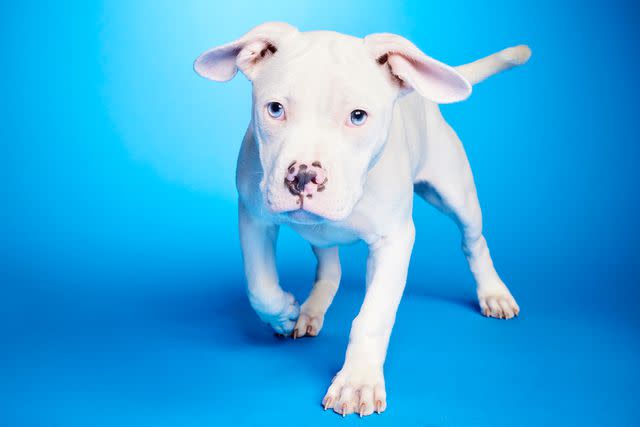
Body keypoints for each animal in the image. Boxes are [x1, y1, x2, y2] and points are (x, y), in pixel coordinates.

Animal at [194, 22, 528, 418]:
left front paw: (357, 381)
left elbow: (373, 316)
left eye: (357, 116)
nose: (303, 177)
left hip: (454, 193)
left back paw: (493, 292)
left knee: (474, 241)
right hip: (320, 232)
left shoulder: (394, 241)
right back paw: (310, 310)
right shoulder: (254, 216)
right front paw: (284, 313)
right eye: (275, 109)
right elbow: (259, 286)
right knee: (330, 268)